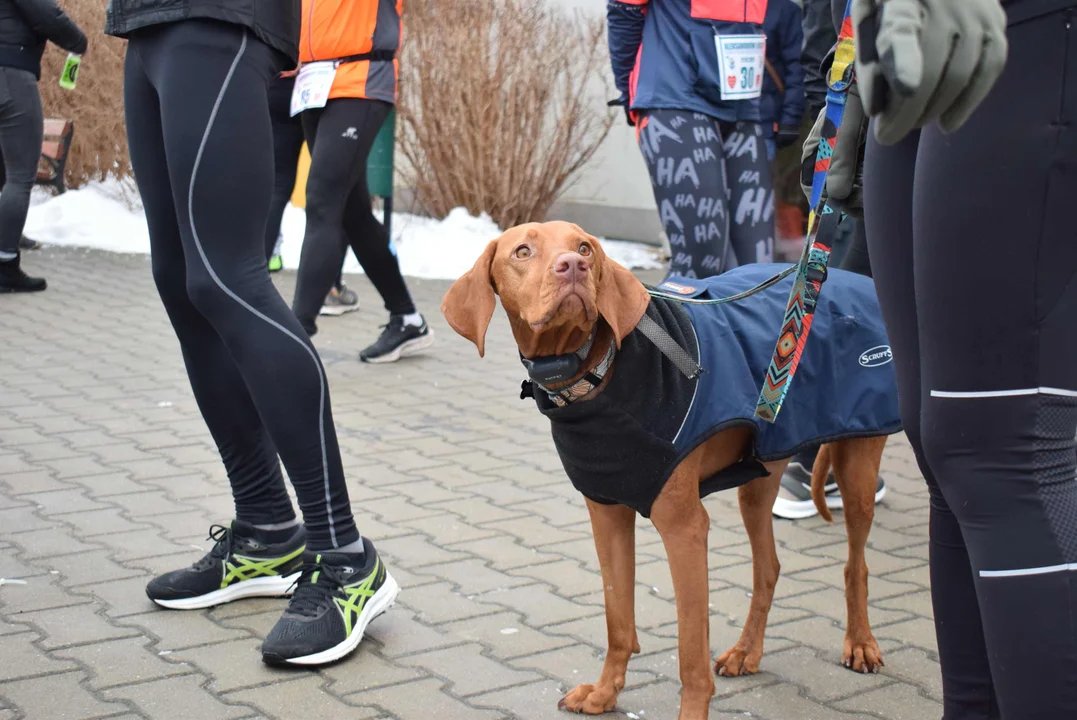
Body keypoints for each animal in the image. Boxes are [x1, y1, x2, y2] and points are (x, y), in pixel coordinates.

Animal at [439, 221, 891, 714]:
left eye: (585, 248)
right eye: (522, 251)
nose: (573, 266)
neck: (596, 374)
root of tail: (852, 279)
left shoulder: (685, 528)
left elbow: (690, 650)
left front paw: (691, 711)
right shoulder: (607, 515)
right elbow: (618, 619)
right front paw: (605, 692)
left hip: (857, 466)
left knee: (856, 566)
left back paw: (860, 644)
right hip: (763, 471)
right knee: (768, 567)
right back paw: (747, 652)